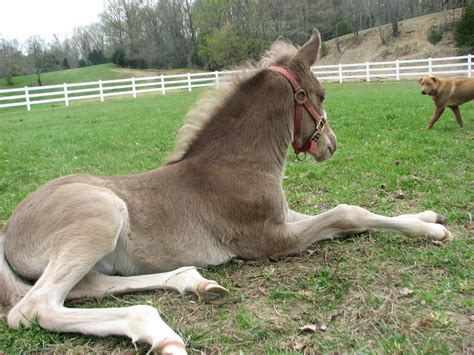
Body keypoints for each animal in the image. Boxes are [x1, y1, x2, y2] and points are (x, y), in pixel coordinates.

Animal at [0, 29, 452, 354]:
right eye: (321, 95)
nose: (331, 144)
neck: (234, 166)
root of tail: (8, 230)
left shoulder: (284, 217)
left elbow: (349, 214)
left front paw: (426, 216)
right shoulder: (269, 239)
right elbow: (347, 213)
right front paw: (433, 230)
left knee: (88, 286)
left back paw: (197, 284)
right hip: (101, 216)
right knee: (34, 308)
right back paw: (160, 333)